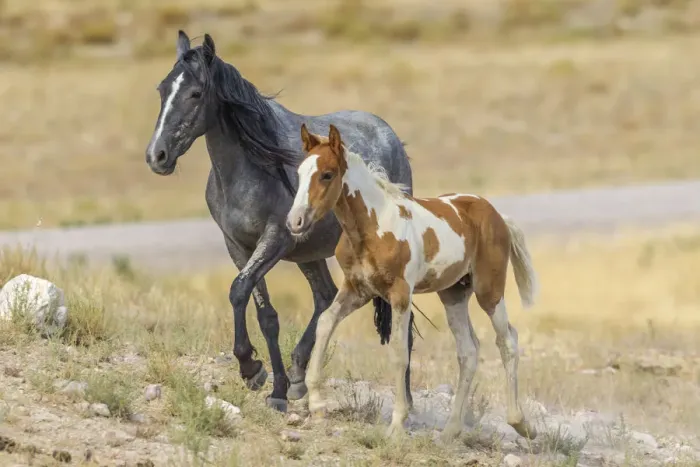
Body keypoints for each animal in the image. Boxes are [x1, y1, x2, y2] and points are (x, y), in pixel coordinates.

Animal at [143, 30, 417, 412]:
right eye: (162, 89)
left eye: (195, 93)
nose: (157, 156)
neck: (249, 169)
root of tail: (390, 137)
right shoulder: (239, 245)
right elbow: (262, 311)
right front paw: (270, 382)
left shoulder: (275, 239)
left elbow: (239, 290)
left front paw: (253, 369)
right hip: (311, 254)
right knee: (325, 297)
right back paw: (301, 373)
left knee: (401, 318)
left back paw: (407, 403)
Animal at [286, 124, 539, 442]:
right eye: (299, 173)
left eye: (327, 174)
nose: (294, 222)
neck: (373, 228)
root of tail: (496, 215)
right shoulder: (357, 289)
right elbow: (325, 322)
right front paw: (317, 405)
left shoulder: (400, 294)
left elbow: (398, 351)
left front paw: (396, 424)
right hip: (454, 294)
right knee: (468, 351)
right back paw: (450, 431)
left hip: (489, 290)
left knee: (507, 340)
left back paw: (521, 423)